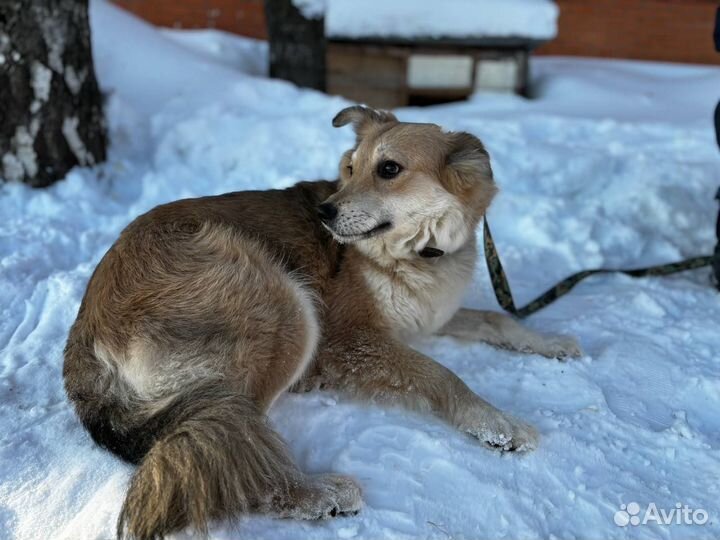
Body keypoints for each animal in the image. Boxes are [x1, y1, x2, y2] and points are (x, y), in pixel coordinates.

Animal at [62, 104, 580, 536]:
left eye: (388, 169)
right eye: (350, 169)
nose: (324, 212)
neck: (418, 254)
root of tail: (83, 340)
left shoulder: (426, 318)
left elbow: (496, 320)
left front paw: (550, 341)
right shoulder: (351, 340)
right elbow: (441, 375)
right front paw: (498, 422)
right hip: (283, 303)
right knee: (234, 453)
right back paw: (314, 492)